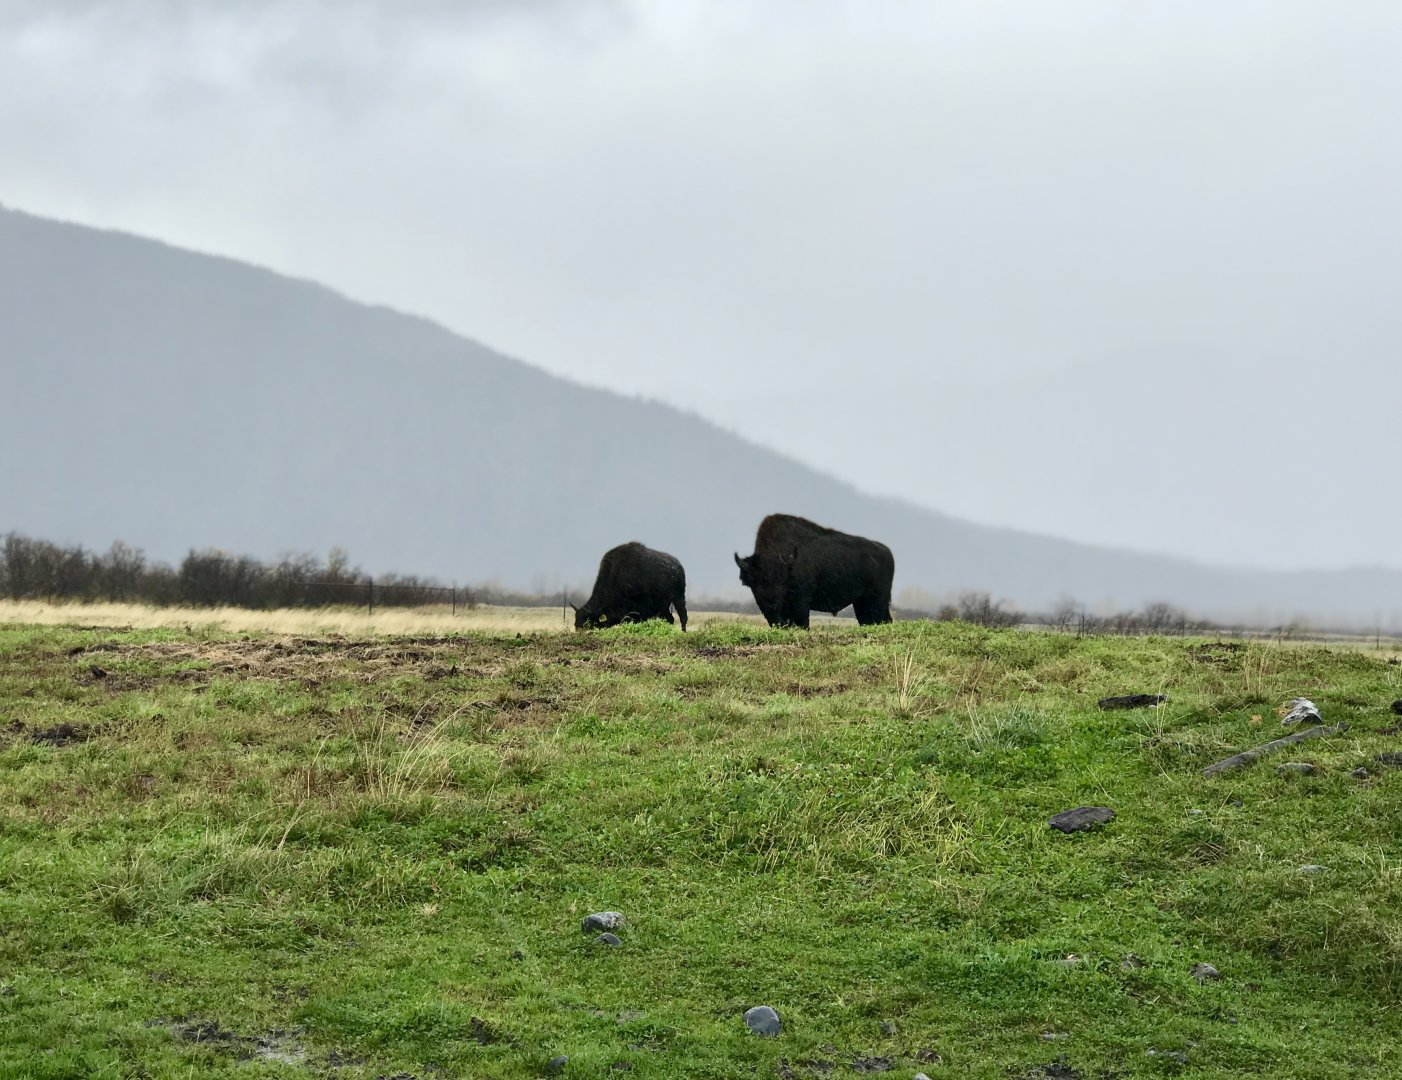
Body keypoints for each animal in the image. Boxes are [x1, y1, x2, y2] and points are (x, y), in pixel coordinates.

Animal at [734, 514, 894, 629]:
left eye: (781, 581)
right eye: (754, 583)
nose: (770, 603)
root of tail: (886, 551)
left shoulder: (801, 604)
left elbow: (803, 624)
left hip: (879, 601)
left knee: (885, 619)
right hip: (861, 602)